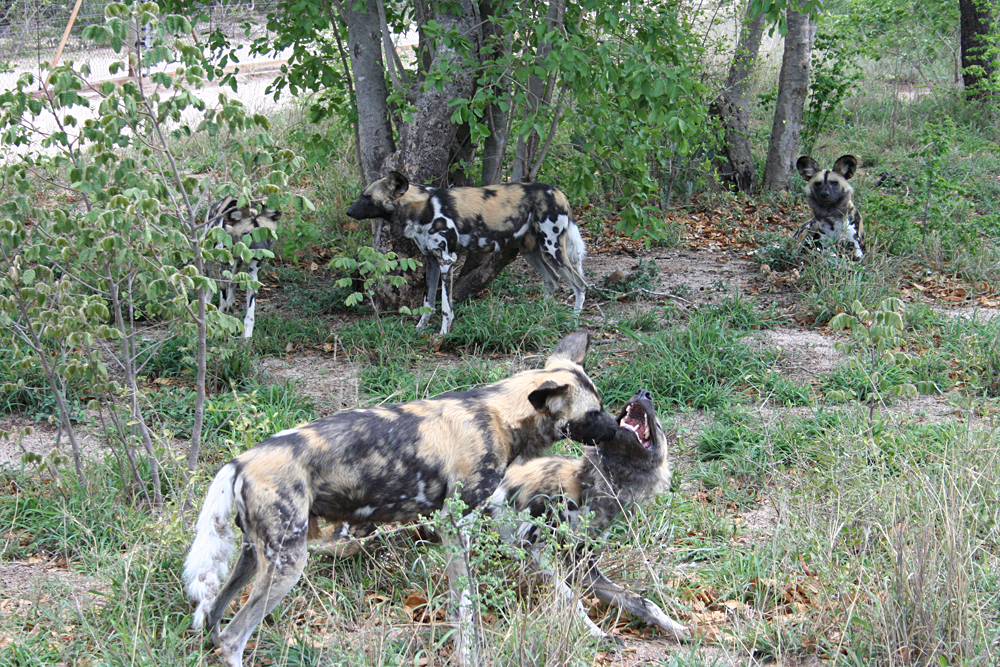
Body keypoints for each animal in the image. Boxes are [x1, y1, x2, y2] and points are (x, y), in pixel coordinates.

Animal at [182, 330, 616, 667]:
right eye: (594, 413)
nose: (616, 429)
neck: (499, 417)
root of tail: (240, 462)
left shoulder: (506, 533)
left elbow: (563, 590)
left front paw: (593, 630)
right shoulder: (456, 527)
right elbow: (466, 607)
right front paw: (469, 654)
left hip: (256, 557)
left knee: (214, 618)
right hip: (288, 564)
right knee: (234, 637)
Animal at [204, 196, 280, 336]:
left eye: (268, 234)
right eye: (247, 234)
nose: (261, 255)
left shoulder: (252, 273)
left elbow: (250, 311)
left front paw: (247, 335)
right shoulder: (223, 268)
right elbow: (222, 295)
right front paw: (221, 320)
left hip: (238, 264)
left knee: (233, 283)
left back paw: (231, 302)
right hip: (207, 257)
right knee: (210, 281)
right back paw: (208, 302)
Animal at [348, 171, 588, 334]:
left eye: (367, 197)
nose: (349, 212)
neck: (421, 208)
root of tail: (559, 193)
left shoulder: (447, 261)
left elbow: (445, 307)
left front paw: (443, 334)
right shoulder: (431, 261)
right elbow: (427, 303)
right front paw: (419, 328)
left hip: (553, 249)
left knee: (580, 284)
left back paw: (573, 320)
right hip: (531, 251)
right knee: (552, 279)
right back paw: (541, 314)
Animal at [488, 388, 692, 644]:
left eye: (658, 427)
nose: (644, 392)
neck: (602, 487)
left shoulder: (583, 568)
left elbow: (639, 600)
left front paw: (675, 627)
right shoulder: (535, 552)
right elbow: (571, 601)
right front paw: (596, 634)